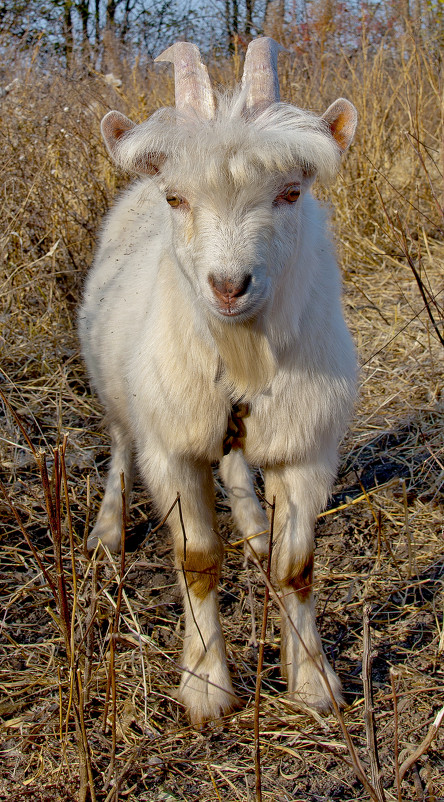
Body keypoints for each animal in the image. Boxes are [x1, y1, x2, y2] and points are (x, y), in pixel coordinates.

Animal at [79, 39, 358, 724]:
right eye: (178, 200)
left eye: (290, 192)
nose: (230, 286)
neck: (240, 354)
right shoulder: (172, 448)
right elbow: (198, 562)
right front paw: (206, 688)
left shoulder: (305, 447)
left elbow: (295, 568)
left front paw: (314, 682)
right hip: (122, 390)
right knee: (121, 444)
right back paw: (107, 530)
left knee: (235, 464)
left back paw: (254, 524)